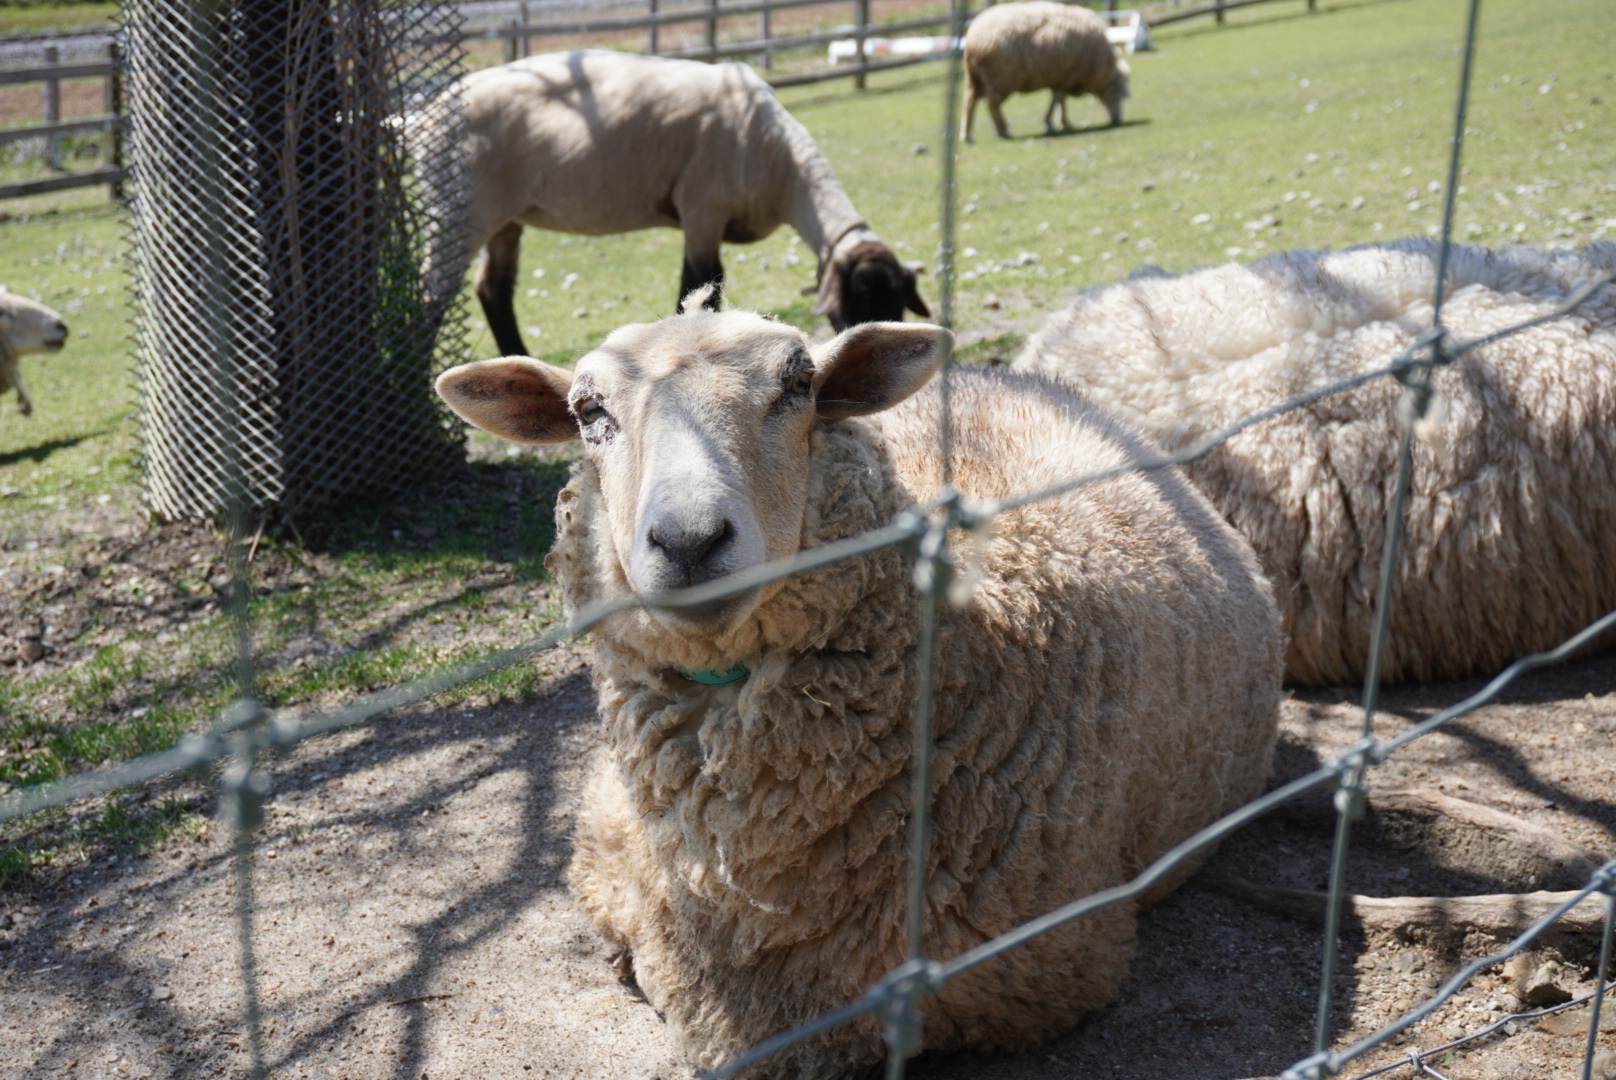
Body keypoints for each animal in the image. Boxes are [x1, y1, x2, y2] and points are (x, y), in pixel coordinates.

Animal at [436, 51, 930, 354]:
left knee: (493, 290)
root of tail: (429, 110)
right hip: (465, 212)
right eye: (852, 309)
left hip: (507, 220)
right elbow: (698, 287)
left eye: (897, 310)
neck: (780, 164)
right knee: (434, 297)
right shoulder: (702, 211)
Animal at [956, 0, 1137, 141]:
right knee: (992, 103)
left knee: (969, 101)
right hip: (1001, 78)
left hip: (976, 77)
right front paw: (1054, 123)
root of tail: (972, 37)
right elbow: (1058, 99)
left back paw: (967, 135)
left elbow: (1059, 101)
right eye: (1119, 93)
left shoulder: (1061, 78)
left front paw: (1061, 122)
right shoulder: (1068, 76)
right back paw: (1003, 130)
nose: (1118, 120)